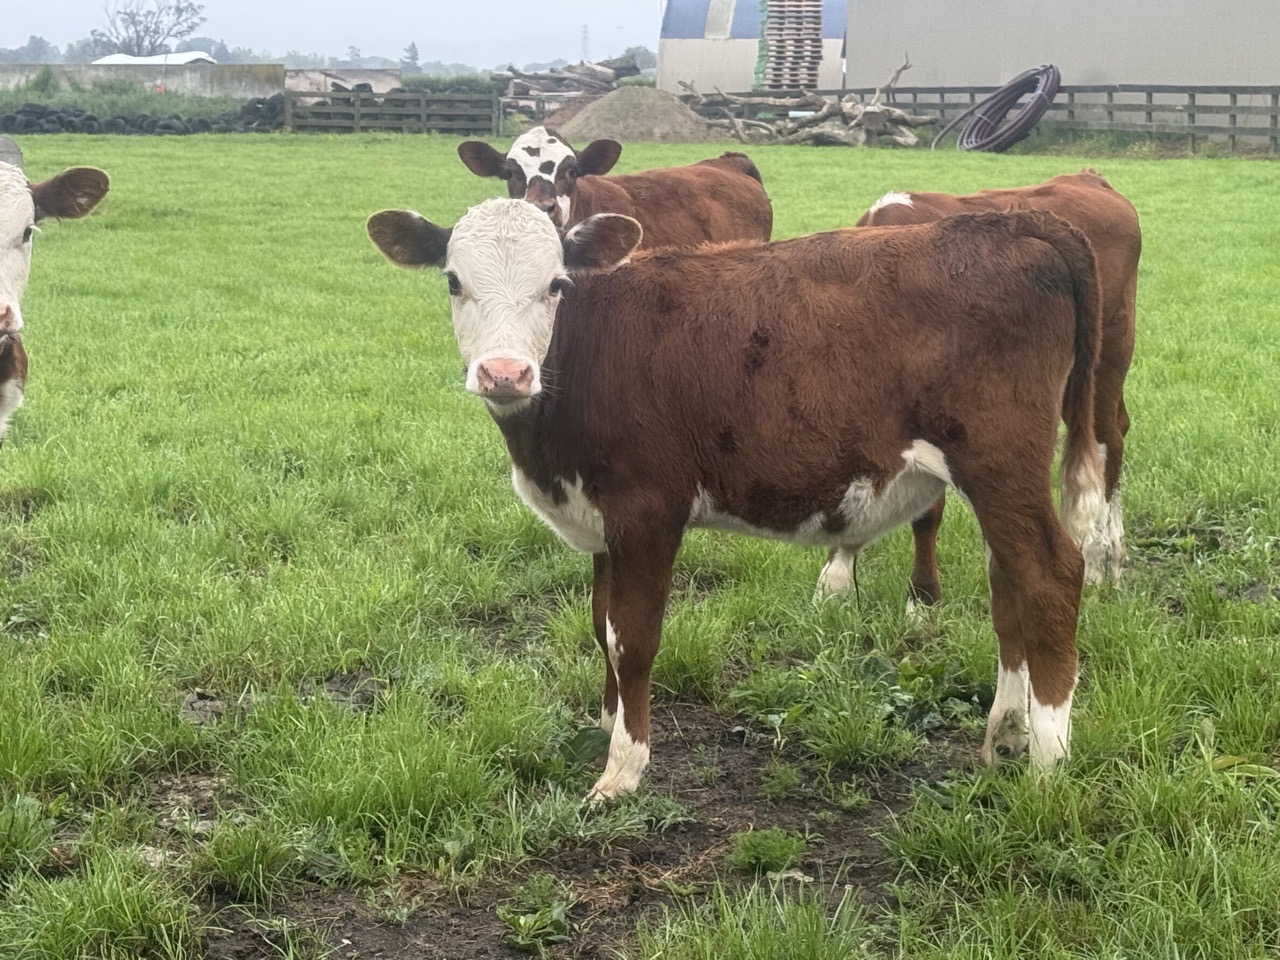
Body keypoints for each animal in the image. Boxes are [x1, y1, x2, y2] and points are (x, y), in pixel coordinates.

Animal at [367, 198, 1105, 799]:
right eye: (453, 280)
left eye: (555, 283)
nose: (504, 373)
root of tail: (1011, 222)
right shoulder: (603, 520)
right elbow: (600, 624)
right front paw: (607, 721)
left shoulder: (646, 511)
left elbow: (632, 637)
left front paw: (623, 768)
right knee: (1009, 581)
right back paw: (1004, 734)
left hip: (997, 462)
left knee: (1050, 574)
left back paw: (1047, 762)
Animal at [817, 171, 1140, 607]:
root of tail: (1088, 178)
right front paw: (836, 579)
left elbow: (925, 514)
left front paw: (921, 600)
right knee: (1117, 429)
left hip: (1107, 357)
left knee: (1107, 442)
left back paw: (1096, 561)